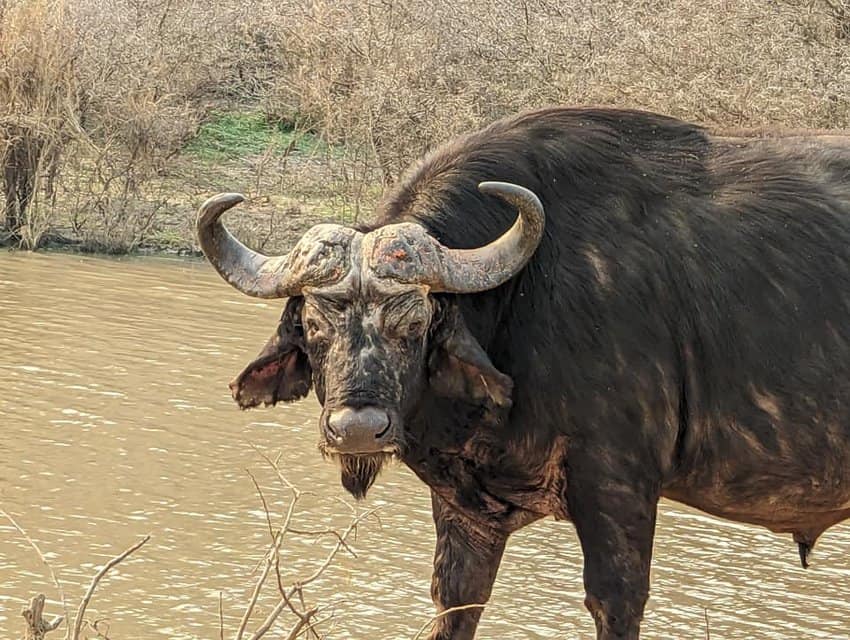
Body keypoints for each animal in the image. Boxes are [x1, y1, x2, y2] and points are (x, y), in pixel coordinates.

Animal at [198, 107, 850, 639]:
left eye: (416, 322)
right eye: (313, 324)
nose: (358, 429)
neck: (524, 295)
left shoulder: (618, 489)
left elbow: (616, 603)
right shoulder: (466, 514)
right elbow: (456, 603)